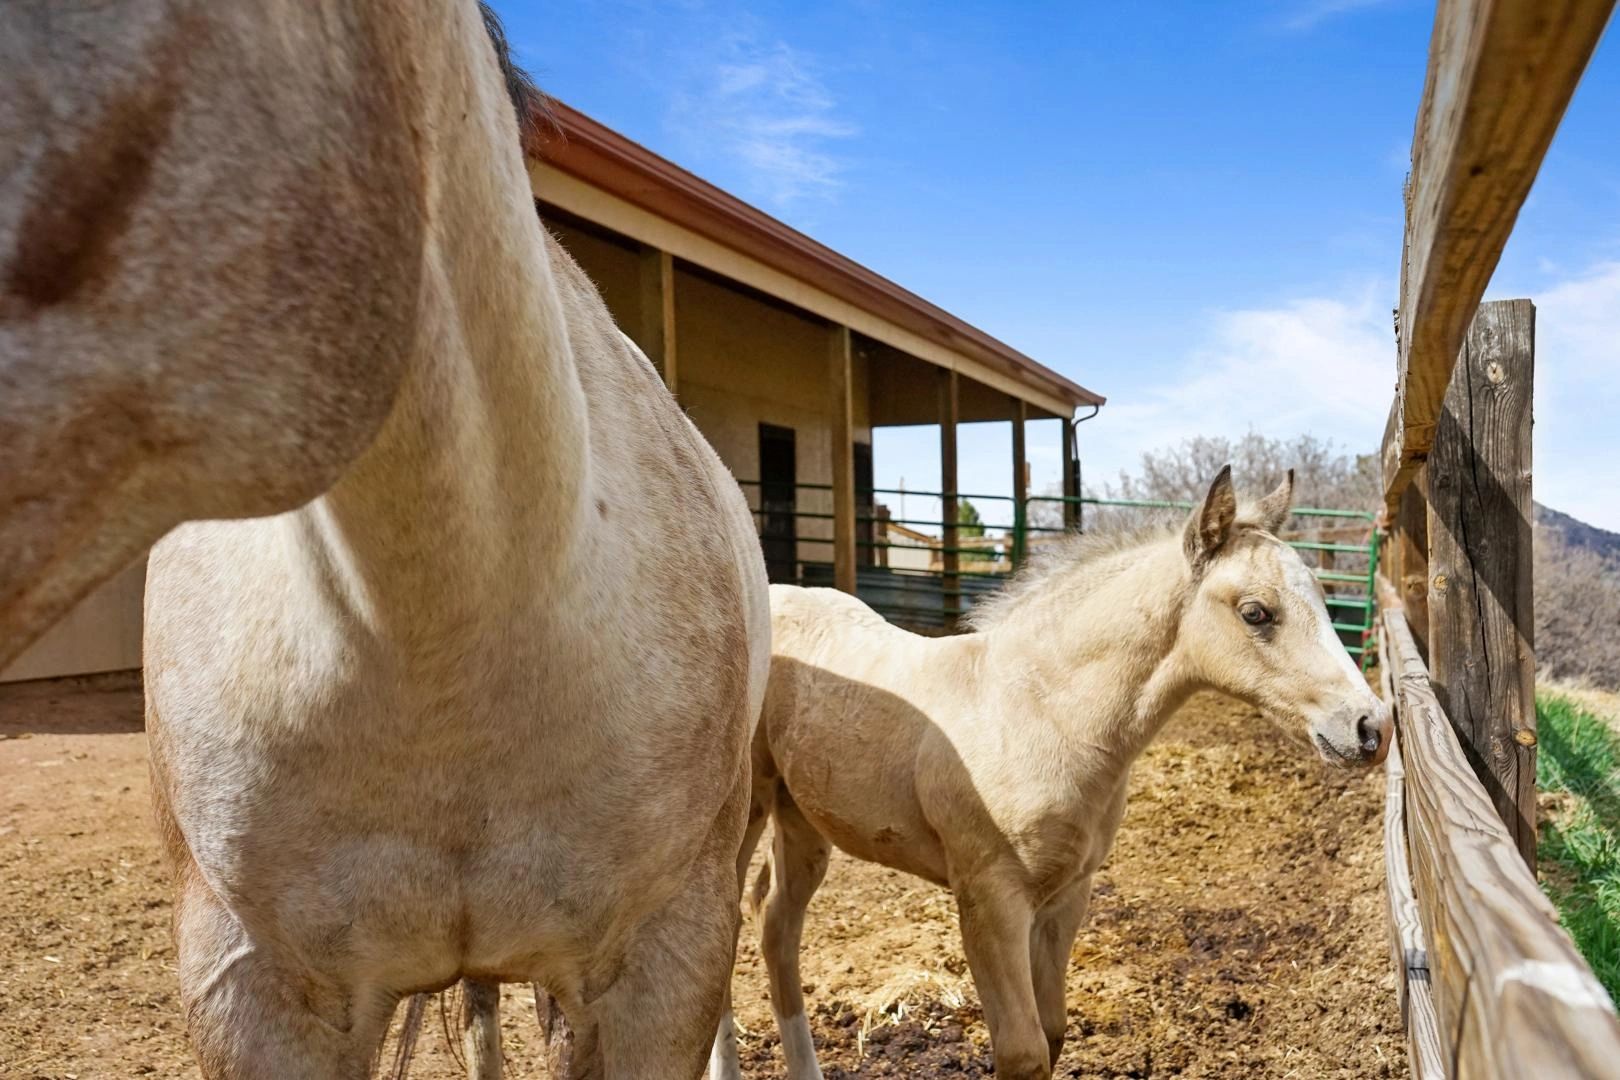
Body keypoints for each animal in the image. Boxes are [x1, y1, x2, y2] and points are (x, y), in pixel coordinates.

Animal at [708, 467, 1391, 1080]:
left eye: (1323, 600)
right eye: (1256, 613)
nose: (1372, 727)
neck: (1042, 711)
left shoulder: (1067, 894)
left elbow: (1055, 1031)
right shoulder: (989, 899)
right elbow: (1022, 1051)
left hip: (803, 818)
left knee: (775, 927)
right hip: (744, 814)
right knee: (730, 927)